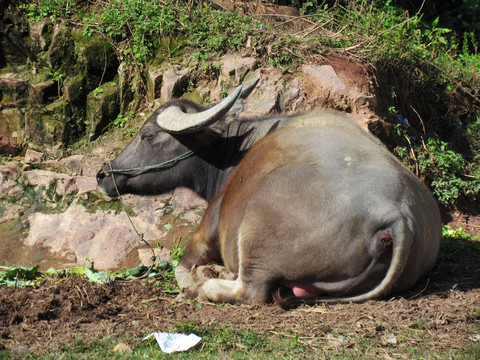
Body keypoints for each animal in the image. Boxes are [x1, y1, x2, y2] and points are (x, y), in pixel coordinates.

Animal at [97, 81, 442, 306]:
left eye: (147, 134)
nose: (103, 174)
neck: (236, 153)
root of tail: (397, 215)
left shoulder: (207, 229)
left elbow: (181, 267)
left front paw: (199, 275)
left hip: (254, 232)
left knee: (250, 291)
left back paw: (207, 284)